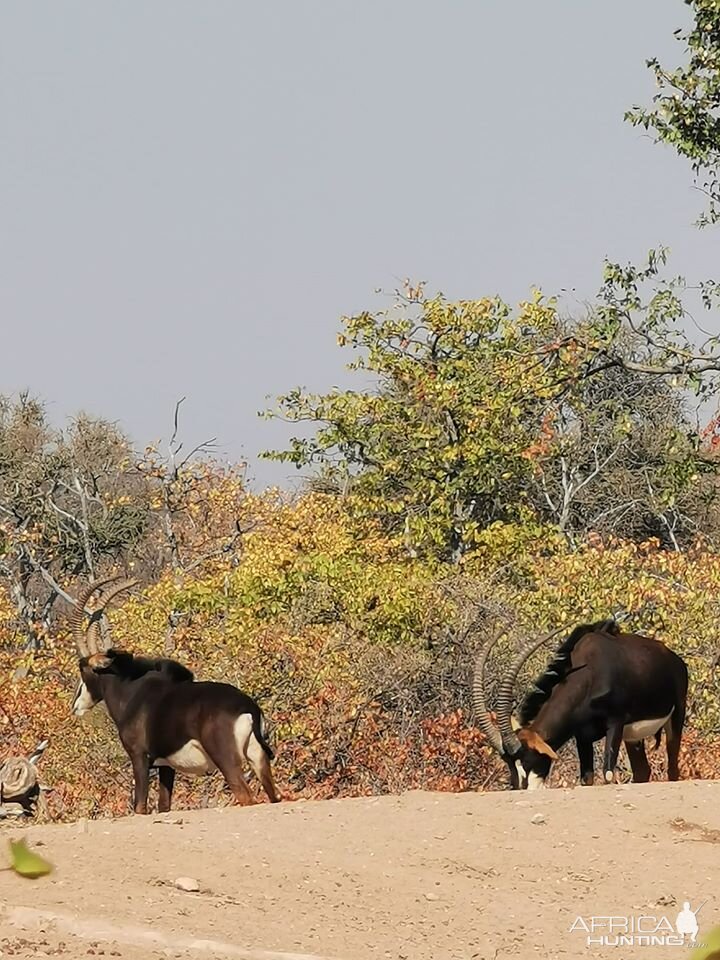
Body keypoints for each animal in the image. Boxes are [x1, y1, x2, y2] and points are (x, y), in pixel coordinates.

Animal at [68, 576, 282, 808]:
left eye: (82, 667)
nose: (76, 705)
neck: (131, 693)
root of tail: (249, 708)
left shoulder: (140, 757)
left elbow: (140, 807)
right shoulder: (166, 766)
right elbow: (164, 806)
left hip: (227, 760)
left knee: (246, 796)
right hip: (258, 759)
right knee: (274, 797)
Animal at [476, 620, 688, 792]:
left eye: (528, 759)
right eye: (509, 763)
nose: (521, 788)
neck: (589, 673)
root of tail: (675, 660)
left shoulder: (615, 724)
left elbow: (608, 773)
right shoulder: (582, 736)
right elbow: (587, 779)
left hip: (675, 719)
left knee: (672, 767)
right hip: (633, 737)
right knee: (642, 770)